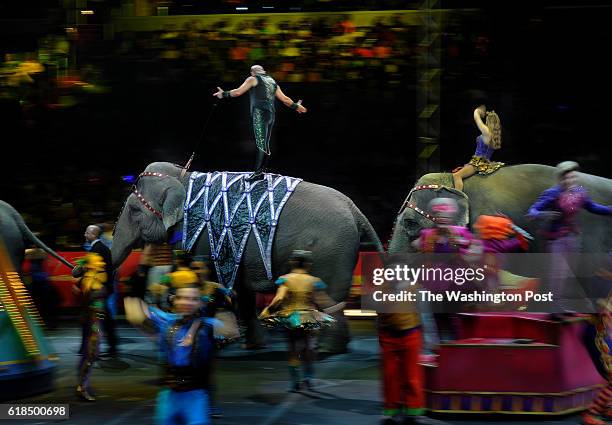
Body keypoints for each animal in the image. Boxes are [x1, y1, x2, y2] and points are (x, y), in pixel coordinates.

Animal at [113, 161, 382, 352]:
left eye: (134, 211)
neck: (183, 176)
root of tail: (356, 210)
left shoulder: (205, 238)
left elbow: (211, 280)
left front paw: (217, 340)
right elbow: (242, 289)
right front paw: (251, 344)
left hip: (333, 251)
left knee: (331, 297)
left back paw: (326, 349)